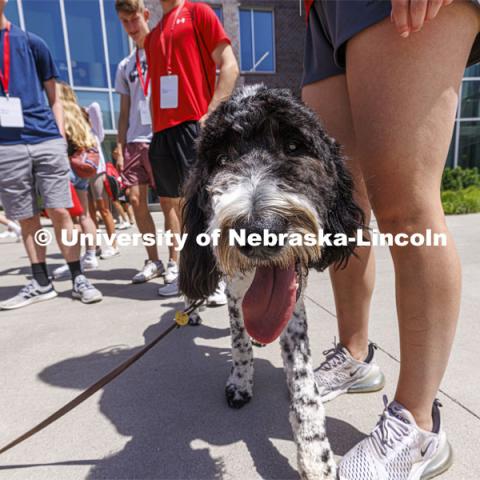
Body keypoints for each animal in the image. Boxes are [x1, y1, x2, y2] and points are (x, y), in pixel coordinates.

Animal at [180, 86, 364, 480]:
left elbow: (303, 387)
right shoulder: (235, 293)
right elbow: (239, 344)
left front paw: (315, 454)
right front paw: (240, 382)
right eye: (221, 158)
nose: (259, 231)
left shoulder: (293, 306)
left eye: (295, 146)